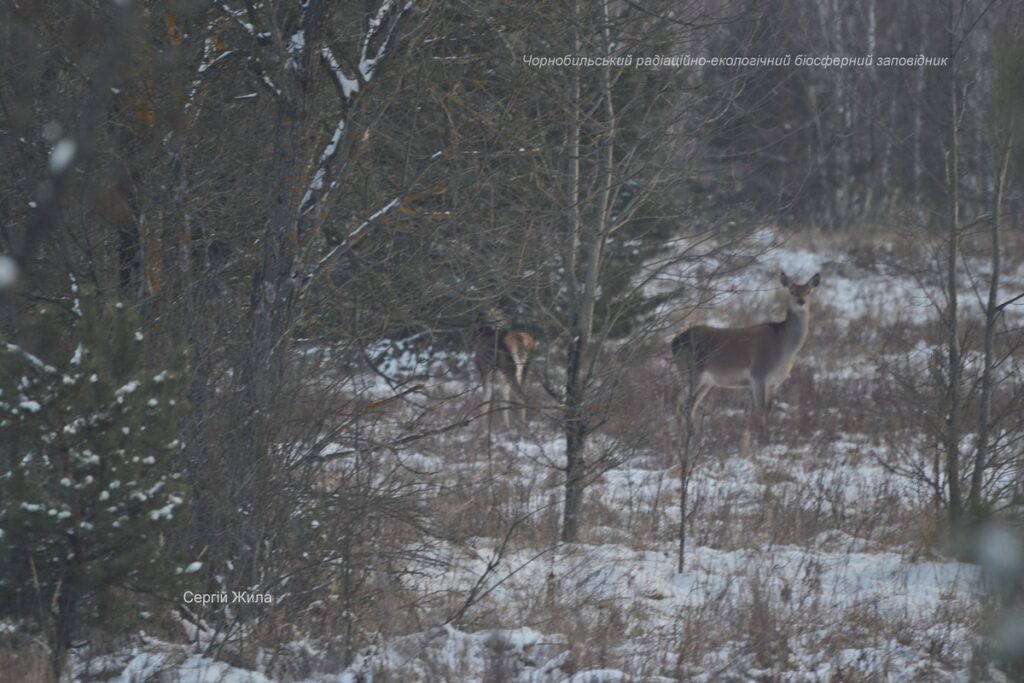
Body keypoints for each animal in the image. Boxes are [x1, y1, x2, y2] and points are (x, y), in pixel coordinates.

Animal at [671, 272, 823, 444]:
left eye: (808, 291)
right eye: (792, 290)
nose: (801, 301)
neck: (783, 346)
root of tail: (674, 342)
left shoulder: (775, 382)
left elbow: (768, 409)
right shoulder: (759, 373)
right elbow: (760, 410)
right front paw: (762, 440)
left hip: (705, 381)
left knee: (689, 404)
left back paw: (691, 436)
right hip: (691, 371)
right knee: (682, 403)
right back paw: (686, 438)